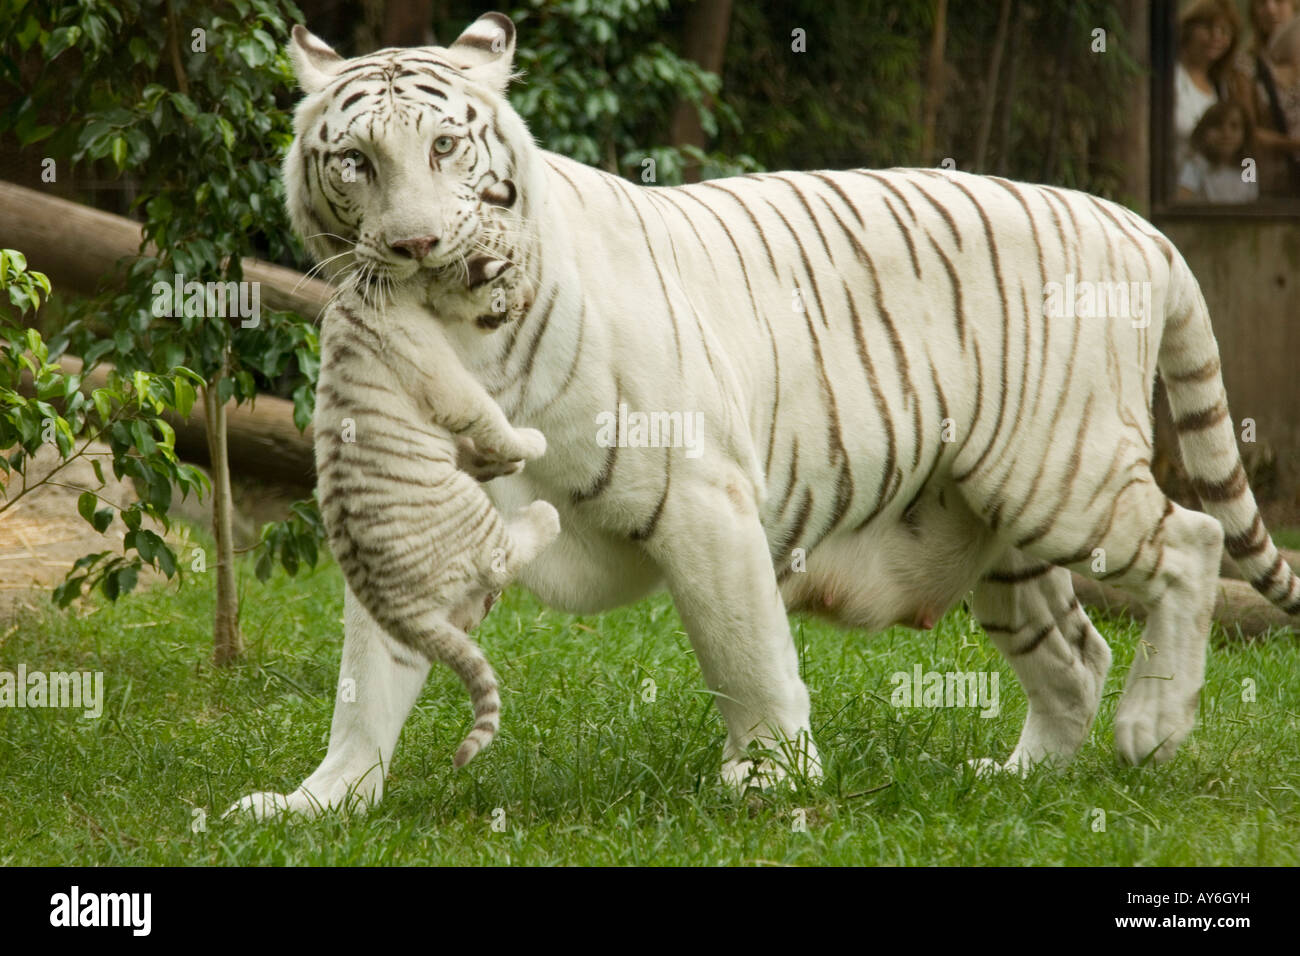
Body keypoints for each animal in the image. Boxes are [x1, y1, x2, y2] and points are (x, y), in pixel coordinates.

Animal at [228, 13, 1294, 822]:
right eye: (356, 162)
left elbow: (745, 651)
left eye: (445, 147)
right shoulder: (399, 515)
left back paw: (1152, 729)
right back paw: (1019, 780)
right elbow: (369, 676)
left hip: (1055, 477)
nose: (413, 245)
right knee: (1075, 655)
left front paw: (772, 779)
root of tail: (1138, 225)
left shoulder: (701, 495)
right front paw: (320, 802)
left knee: (1192, 541)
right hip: (993, 524)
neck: (465, 326)